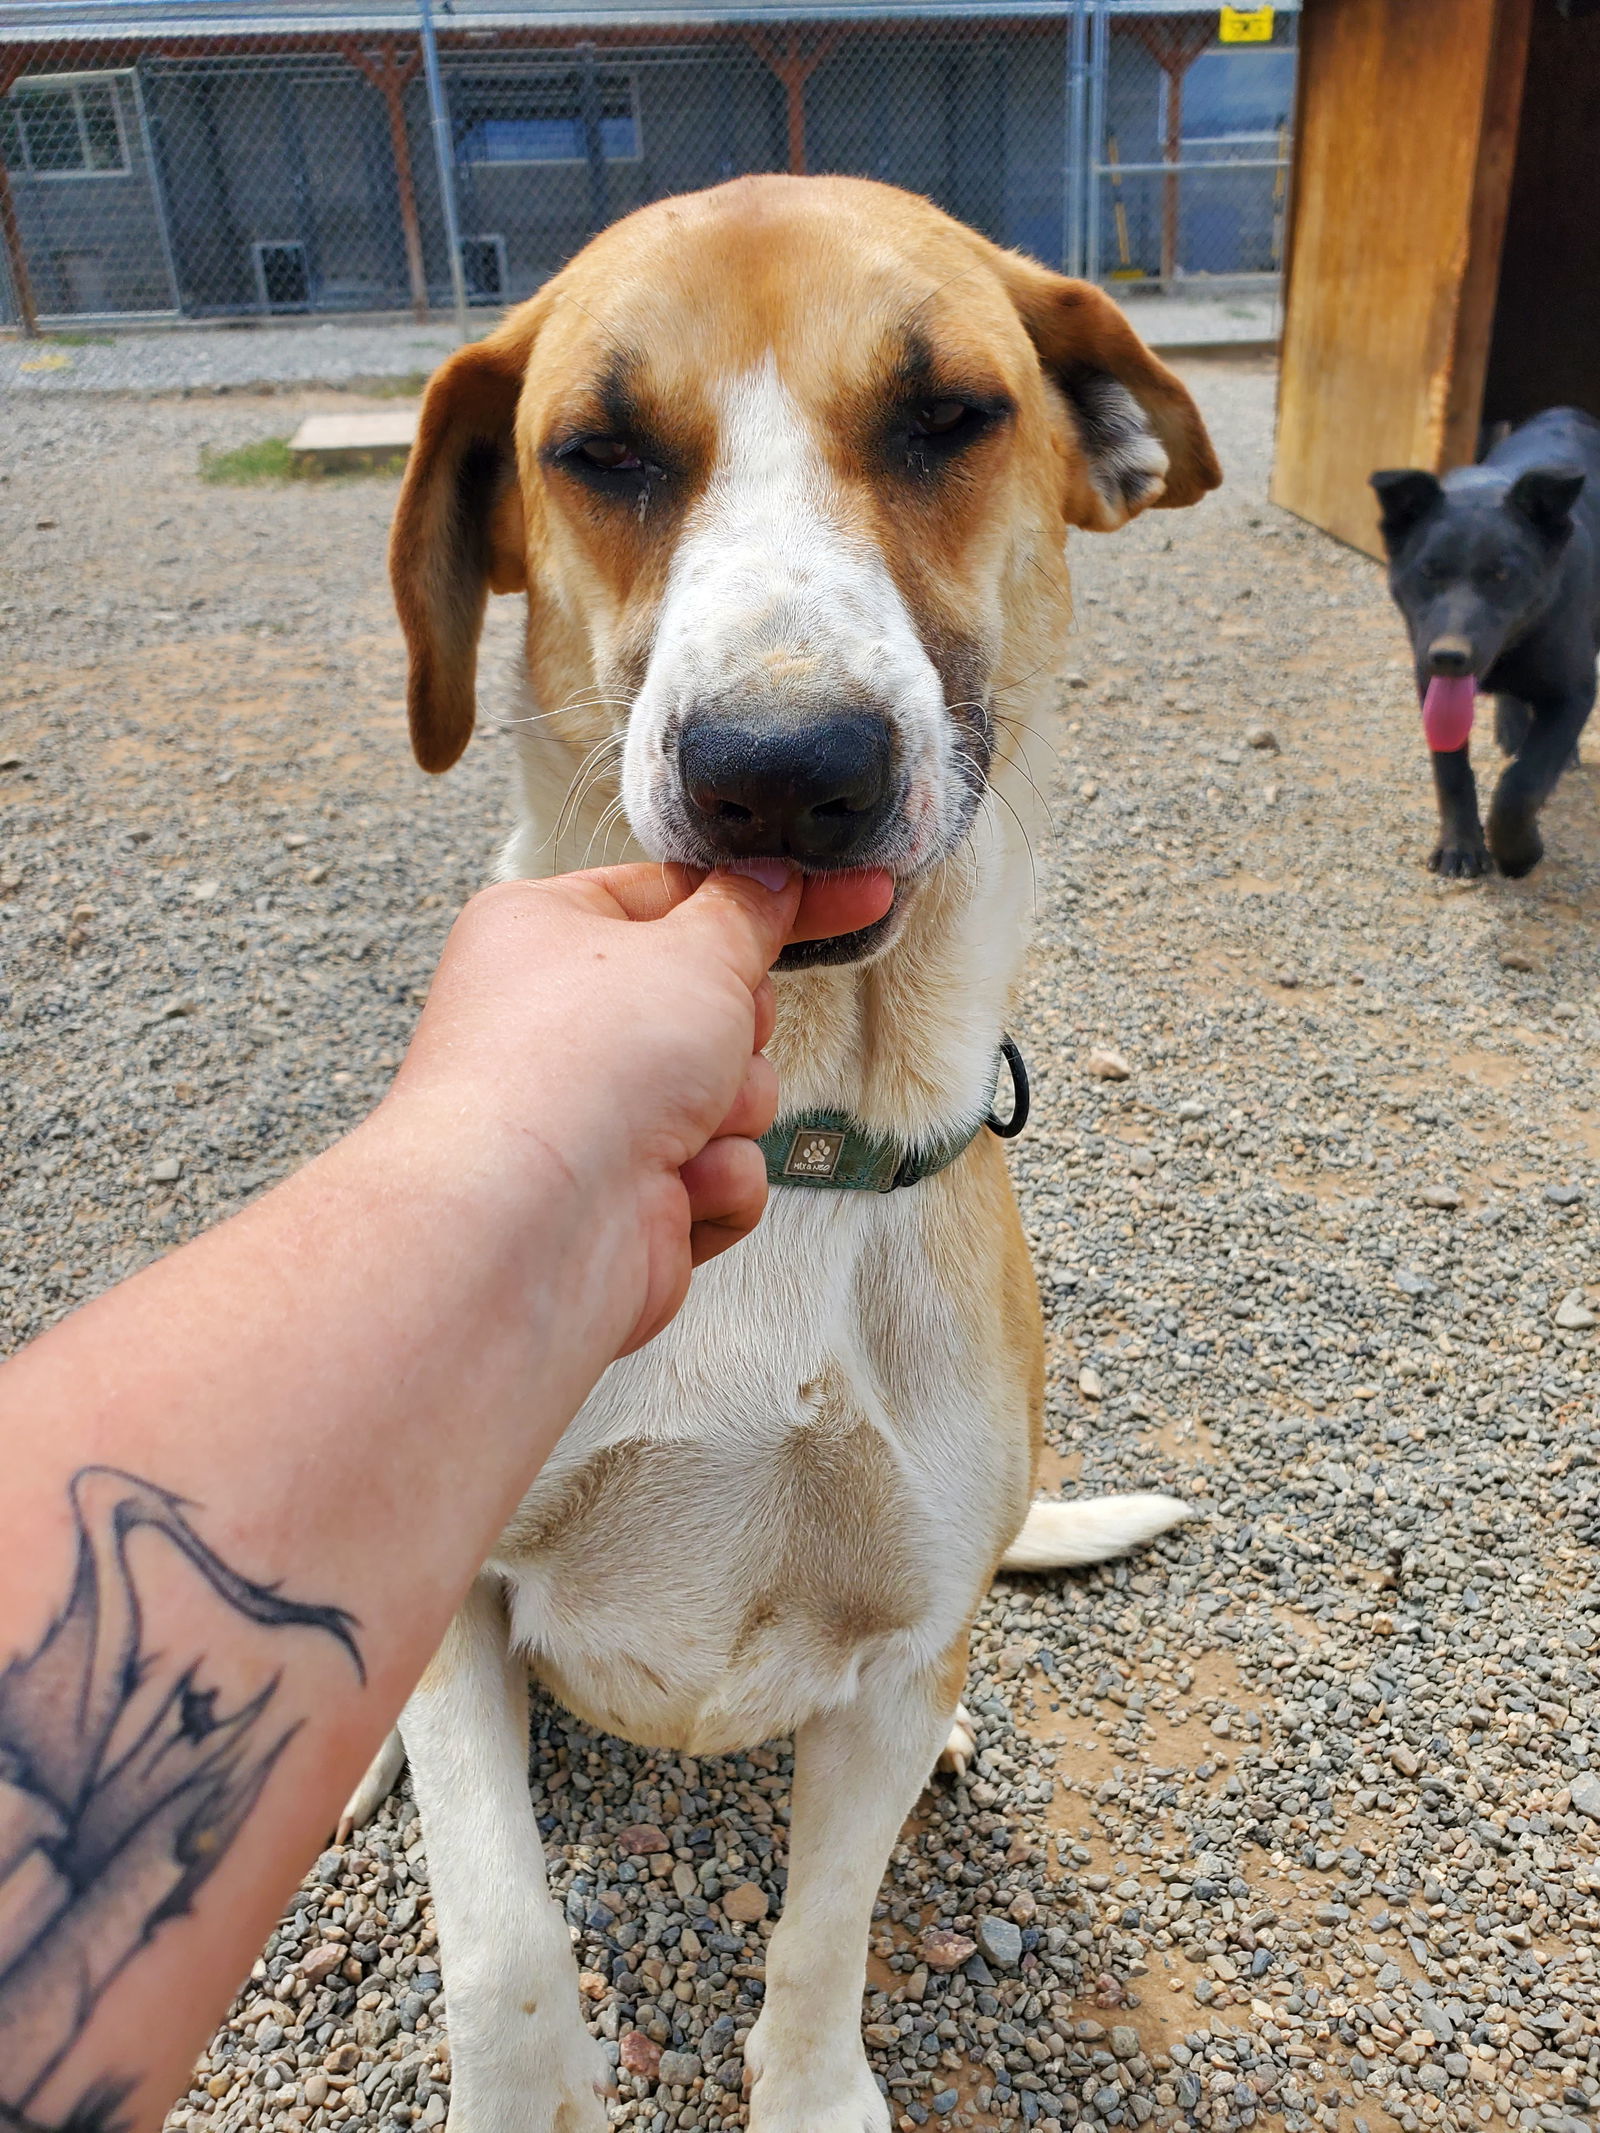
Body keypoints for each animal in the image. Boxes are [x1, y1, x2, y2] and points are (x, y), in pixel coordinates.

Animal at [349, 179, 1220, 2133]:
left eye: (949, 415)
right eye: (599, 451)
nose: (782, 765)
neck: (798, 1130)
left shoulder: (886, 1664)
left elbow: (821, 1945)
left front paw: (815, 2088)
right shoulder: (455, 1600)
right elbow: (501, 1947)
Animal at [1373, 407, 1600, 874]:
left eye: (1501, 575)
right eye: (1429, 572)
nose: (1448, 657)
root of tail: (1567, 412)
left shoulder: (1575, 692)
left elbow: (1523, 783)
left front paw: (1518, 852)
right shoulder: (1429, 683)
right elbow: (1451, 771)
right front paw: (1461, 846)